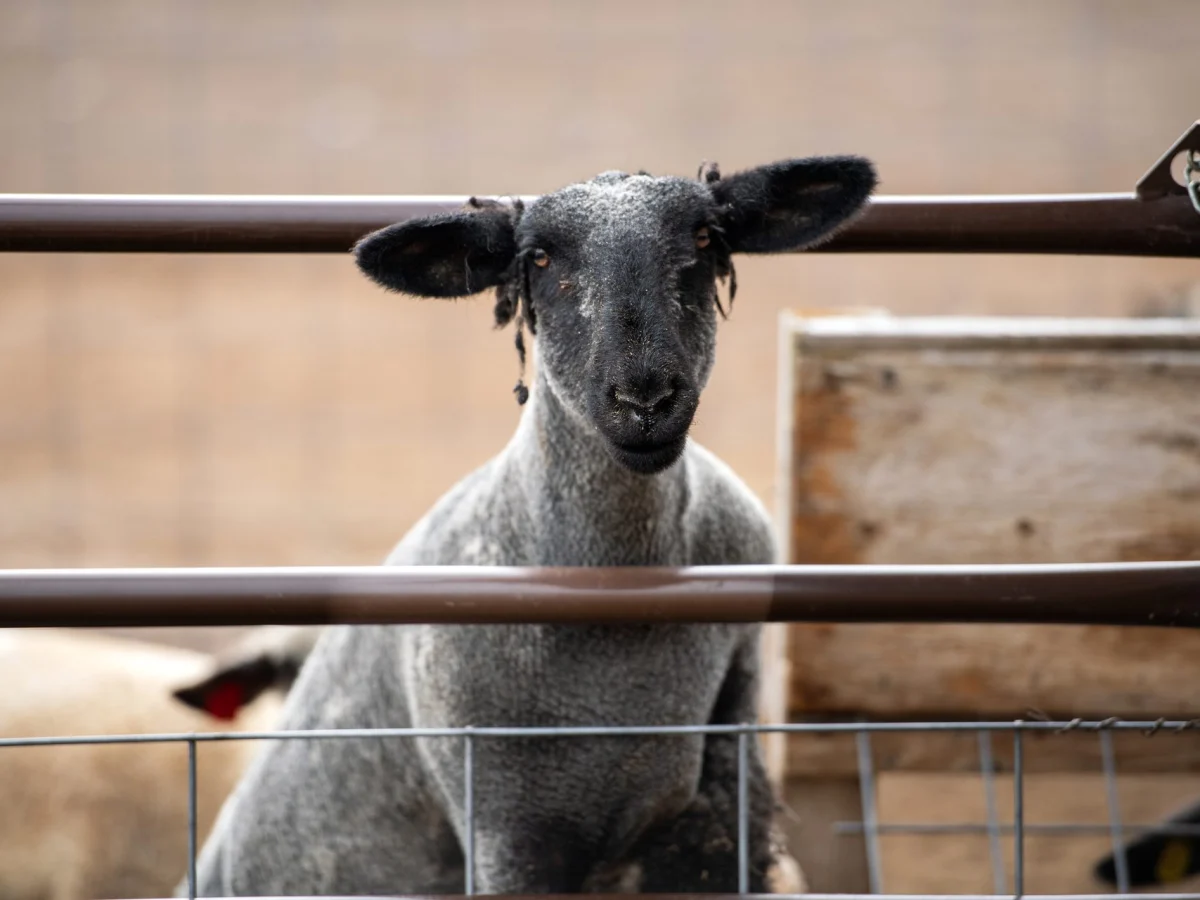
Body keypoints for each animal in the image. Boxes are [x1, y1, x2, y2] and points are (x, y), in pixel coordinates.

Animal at [191, 155, 876, 896]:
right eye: (541, 258)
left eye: (702, 237)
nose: (645, 399)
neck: (616, 584)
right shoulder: (509, 827)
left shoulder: (719, 805)